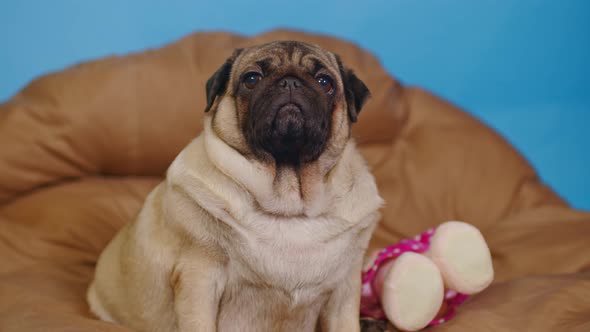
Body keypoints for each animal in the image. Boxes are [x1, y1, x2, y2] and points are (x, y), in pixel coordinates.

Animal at [86, 40, 384, 330]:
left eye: (325, 82)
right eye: (251, 79)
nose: (290, 82)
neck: (288, 198)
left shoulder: (344, 289)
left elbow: (346, 324)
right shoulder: (200, 277)